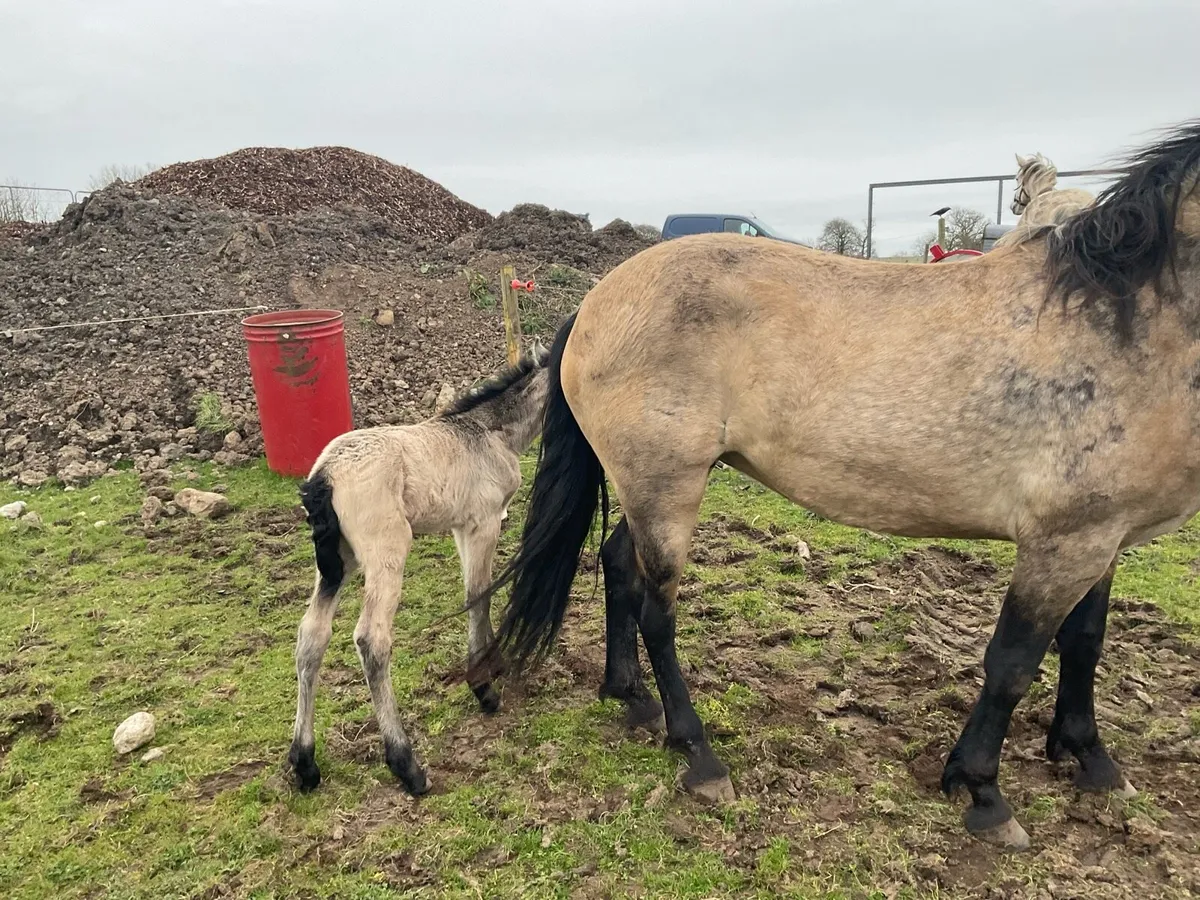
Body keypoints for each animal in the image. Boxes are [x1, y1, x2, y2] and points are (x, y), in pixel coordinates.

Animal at [286, 341, 550, 795]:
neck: (489, 432)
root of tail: (325, 476)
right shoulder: (483, 521)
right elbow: (478, 595)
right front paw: (484, 688)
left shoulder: (461, 527)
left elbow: (475, 593)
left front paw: (492, 665)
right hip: (387, 550)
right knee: (371, 639)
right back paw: (405, 763)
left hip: (337, 562)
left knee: (312, 635)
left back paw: (305, 763)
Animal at [476, 120, 1200, 851]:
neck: (1122, 317)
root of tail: (595, 301)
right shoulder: (1063, 543)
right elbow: (1012, 664)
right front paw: (983, 791)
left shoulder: (1099, 538)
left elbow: (1084, 645)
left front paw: (1090, 758)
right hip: (665, 487)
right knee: (658, 611)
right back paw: (699, 754)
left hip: (652, 485)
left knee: (620, 568)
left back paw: (630, 698)